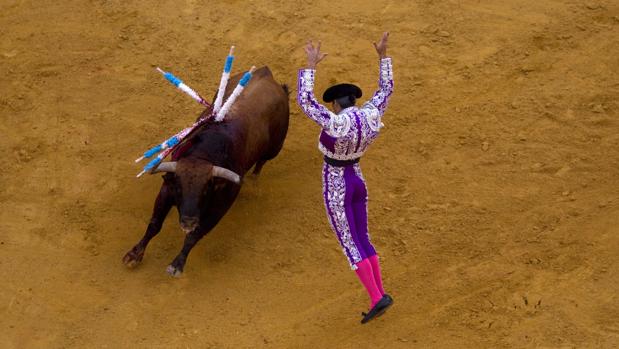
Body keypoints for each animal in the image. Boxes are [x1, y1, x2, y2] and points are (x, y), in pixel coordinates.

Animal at [126, 66, 294, 276]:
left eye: (206, 190)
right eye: (179, 188)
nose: (188, 222)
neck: (203, 155)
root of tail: (267, 74)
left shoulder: (220, 206)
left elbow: (195, 236)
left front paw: (177, 264)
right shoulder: (167, 188)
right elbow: (154, 224)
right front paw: (134, 255)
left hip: (275, 147)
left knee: (261, 162)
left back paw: (254, 182)